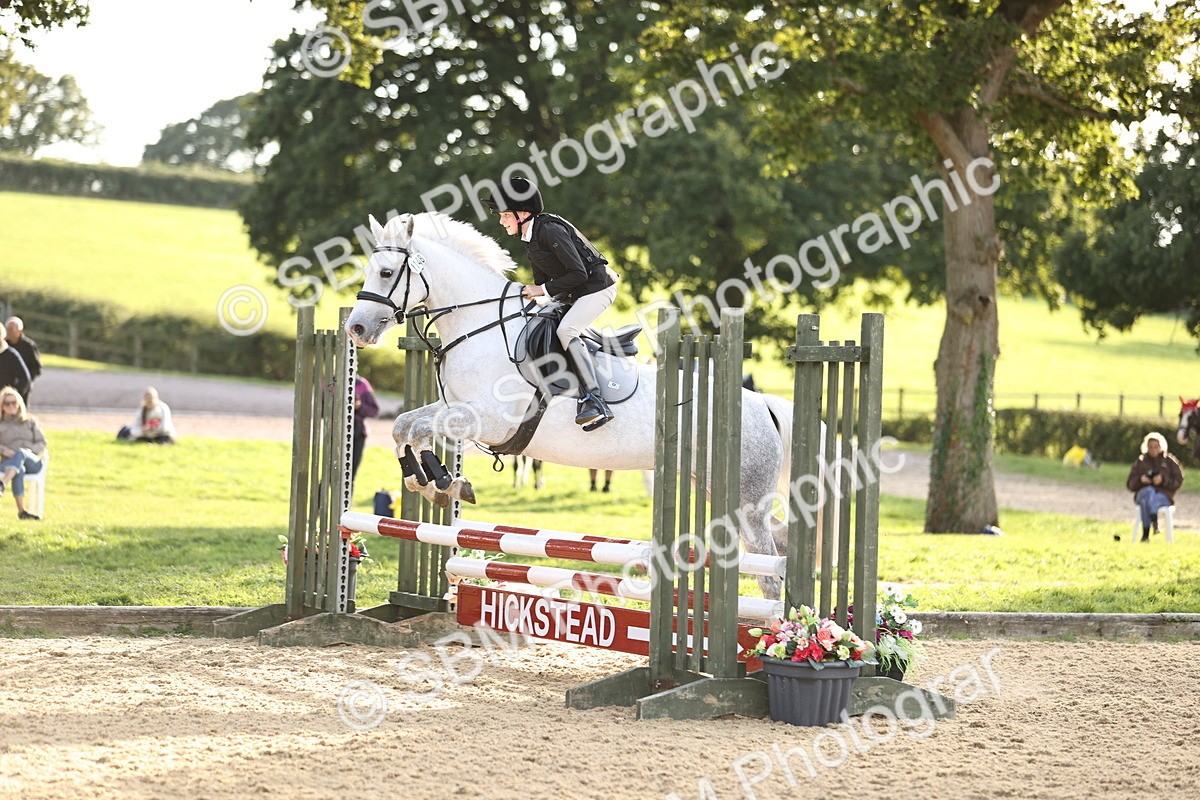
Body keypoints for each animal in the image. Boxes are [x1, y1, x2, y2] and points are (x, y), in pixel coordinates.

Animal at [344, 212, 797, 598]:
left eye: (386, 272)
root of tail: (763, 405)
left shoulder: (488, 420)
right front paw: (436, 483)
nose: (356, 328)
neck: (480, 328)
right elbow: (405, 426)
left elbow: (417, 429)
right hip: (710, 485)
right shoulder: (453, 408)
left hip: (745, 502)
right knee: (780, 538)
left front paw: (441, 482)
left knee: (768, 568)